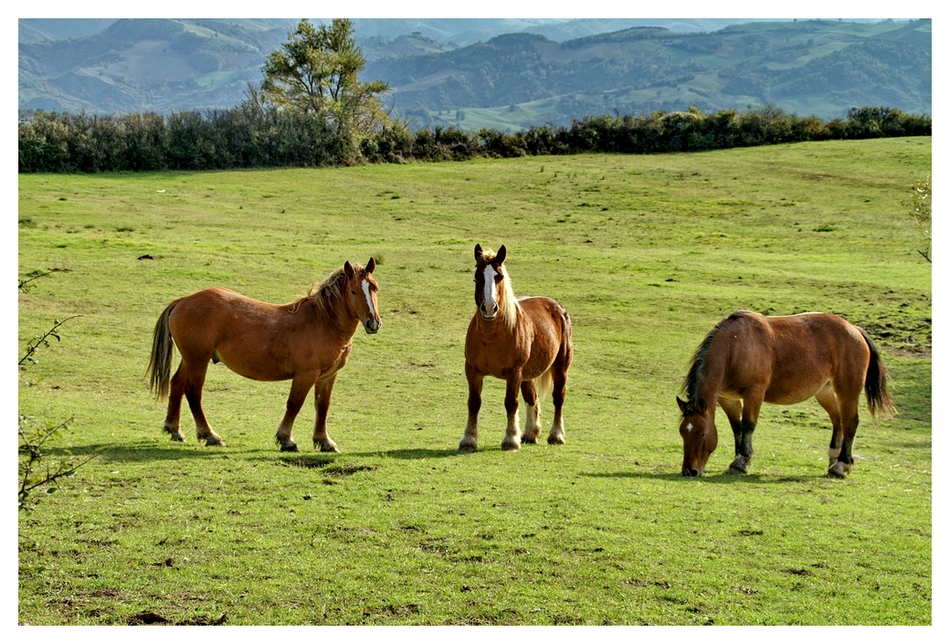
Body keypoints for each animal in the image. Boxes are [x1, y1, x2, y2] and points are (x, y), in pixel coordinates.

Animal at [147, 258, 382, 452]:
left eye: (375, 288)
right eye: (353, 291)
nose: (373, 323)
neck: (322, 322)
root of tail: (183, 300)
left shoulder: (327, 376)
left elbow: (322, 406)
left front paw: (324, 441)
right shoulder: (306, 374)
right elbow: (294, 404)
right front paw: (286, 439)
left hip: (191, 359)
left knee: (177, 384)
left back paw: (174, 429)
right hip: (198, 360)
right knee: (193, 392)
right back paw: (210, 435)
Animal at [460, 244, 576, 450]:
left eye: (499, 276)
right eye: (478, 276)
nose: (489, 307)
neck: (491, 335)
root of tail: (556, 307)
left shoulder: (514, 372)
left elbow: (511, 403)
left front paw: (511, 439)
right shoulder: (472, 370)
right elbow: (474, 403)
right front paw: (468, 440)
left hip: (560, 367)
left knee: (558, 397)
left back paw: (556, 435)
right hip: (527, 373)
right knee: (532, 397)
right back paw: (530, 433)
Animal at [676, 310, 892, 480]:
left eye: (703, 433)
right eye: (682, 432)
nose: (690, 471)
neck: (735, 346)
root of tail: (854, 329)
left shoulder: (754, 393)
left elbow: (748, 425)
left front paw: (741, 462)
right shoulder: (727, 398)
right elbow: (736, 427)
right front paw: (738, 458)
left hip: (847, 390)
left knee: (850, 423)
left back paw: (841, 465)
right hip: (825, 392)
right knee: (837, 420)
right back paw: (833, 461)